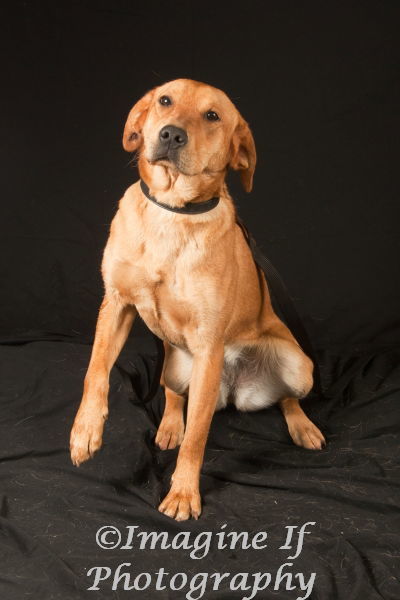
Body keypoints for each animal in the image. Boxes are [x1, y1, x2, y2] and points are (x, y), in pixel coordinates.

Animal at [69, 78, 324, 520]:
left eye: (212, 115)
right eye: (165, 100)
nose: (171, 134)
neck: (172, 212)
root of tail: (234, 389)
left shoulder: (208, 346)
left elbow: (198, 438)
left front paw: (184, 492)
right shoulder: (116, 304)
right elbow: (95, 372)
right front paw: (85, 430)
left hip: (297, 364)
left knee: (287, 398)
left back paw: (302, 425)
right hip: (173, 364)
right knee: (173, 393)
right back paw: (170, 424)